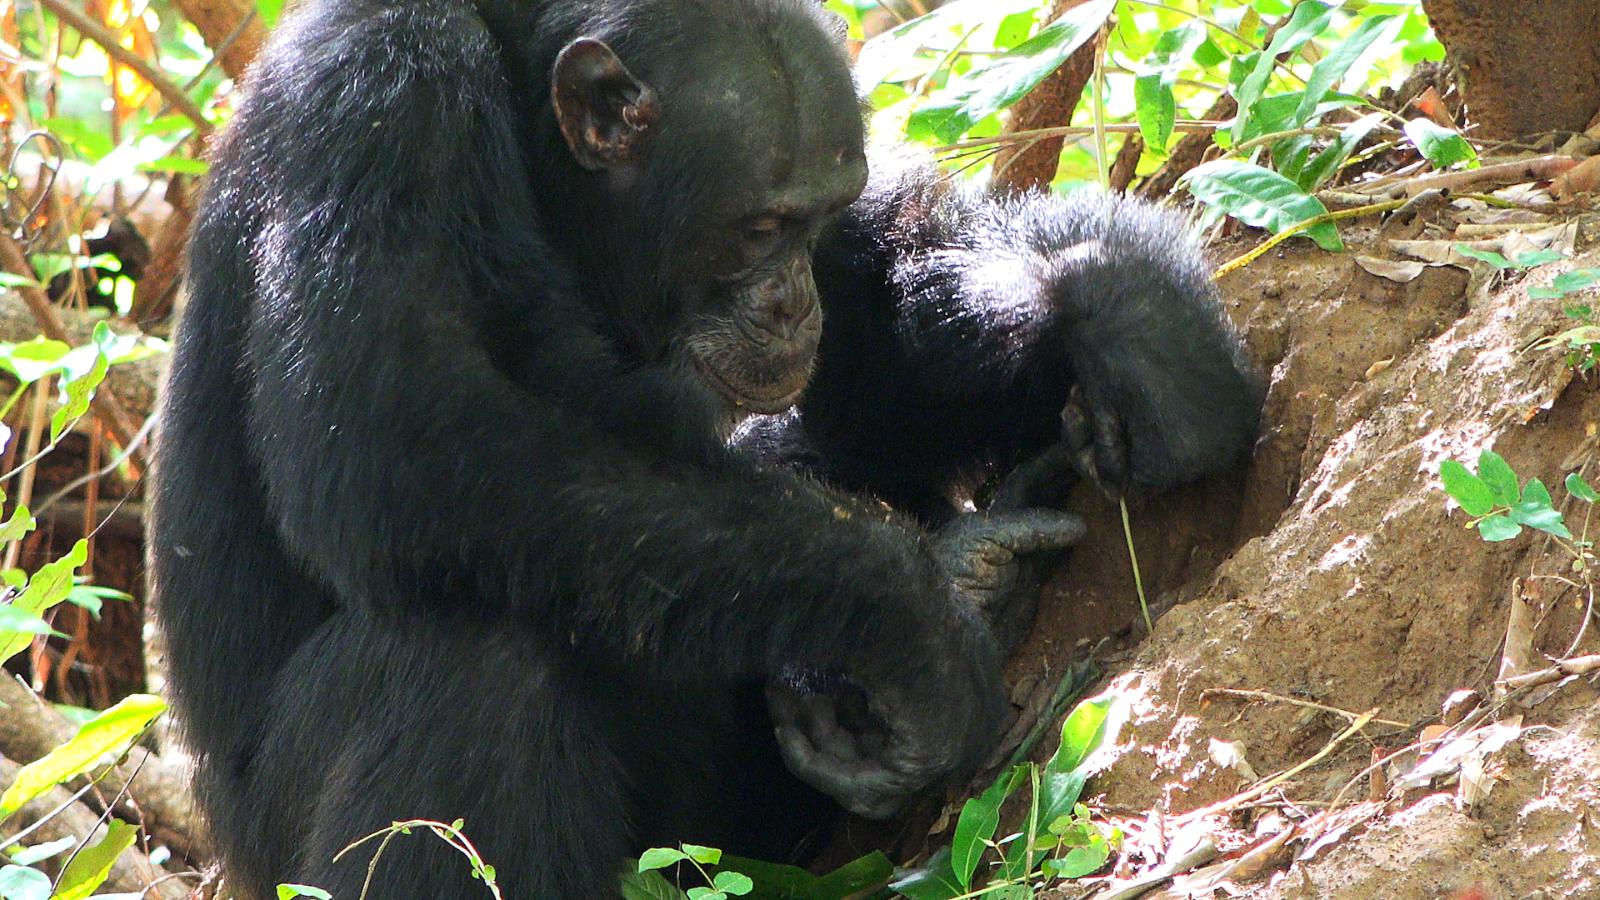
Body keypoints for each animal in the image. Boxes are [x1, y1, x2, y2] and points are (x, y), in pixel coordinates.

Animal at [147, 0, 1248, 890]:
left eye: (813, 220)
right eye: (759, 226)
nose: (793, 301)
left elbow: (868, 374)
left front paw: (1118, 307)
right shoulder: (378, 106)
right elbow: (402, 436)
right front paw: (918, 621)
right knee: (473, 664)